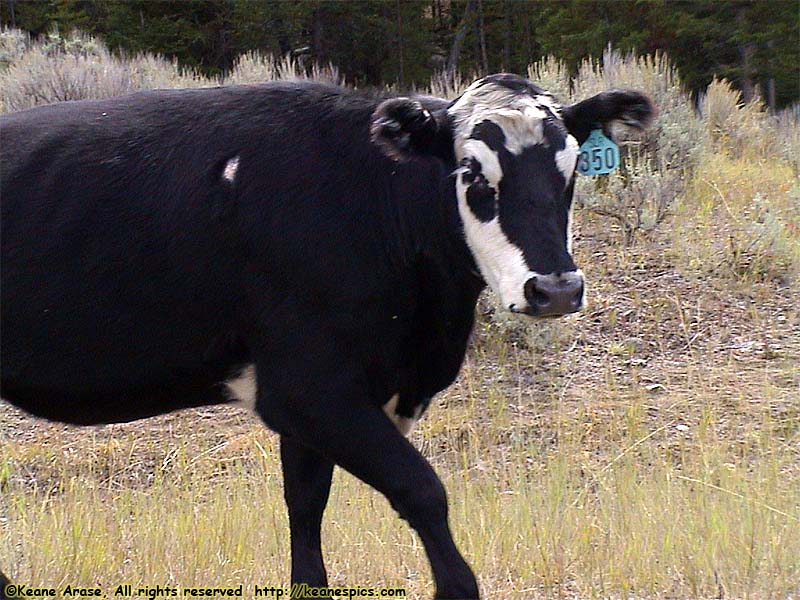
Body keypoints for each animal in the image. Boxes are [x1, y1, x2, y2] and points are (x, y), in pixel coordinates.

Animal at [0, 75, 648, 600]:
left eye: (571, 170)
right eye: (470, 172)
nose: (556, 288)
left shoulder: (318, 411)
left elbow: (306, 513)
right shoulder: (310, 390)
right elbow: (423, 491)